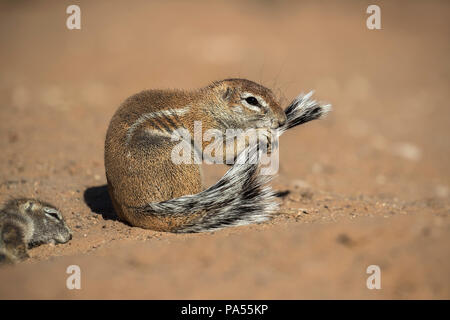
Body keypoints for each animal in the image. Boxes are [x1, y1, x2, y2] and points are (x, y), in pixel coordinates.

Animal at [105, 77, 330, 232]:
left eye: (271, 93)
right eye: (251, 100)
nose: (282, 120)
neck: (210, 105)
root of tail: (134, 211)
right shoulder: (204, 126)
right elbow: (216, 150)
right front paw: (258, 133)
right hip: (178, 157)